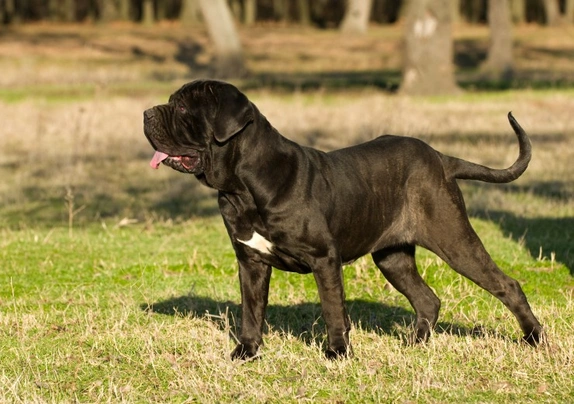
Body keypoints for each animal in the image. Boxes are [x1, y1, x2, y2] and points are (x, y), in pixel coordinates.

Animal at [144, 79, 544, 360]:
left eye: (182, 107)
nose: (146, 113)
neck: (243, 186)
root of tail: (442, 159)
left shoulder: (324, 258)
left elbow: (333, 308)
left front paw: (337, 354)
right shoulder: (251, 262)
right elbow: (251, 311)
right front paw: (246, 353)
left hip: (454, 239)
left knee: (507, 285)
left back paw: (534, 339)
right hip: (392, 257)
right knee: (427, 300)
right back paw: (412, 345)